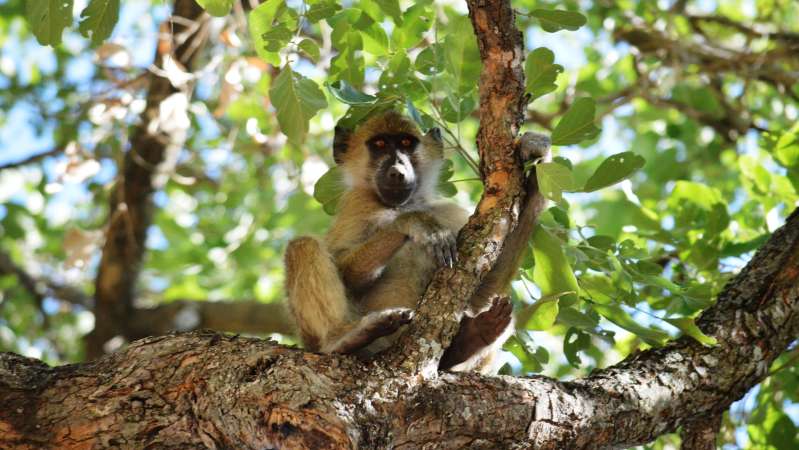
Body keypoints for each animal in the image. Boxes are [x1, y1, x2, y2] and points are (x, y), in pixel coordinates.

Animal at [284, 110, 550, 374]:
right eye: (379, 145)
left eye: (406, 143)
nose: (397, 169)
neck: (401, 204)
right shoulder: (356, 205)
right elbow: (344, 270)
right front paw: (414, 223)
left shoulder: (449, 213)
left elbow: (483, 287)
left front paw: (536, 165)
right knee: (303, 246)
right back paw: (344, 338)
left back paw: (468, 342)